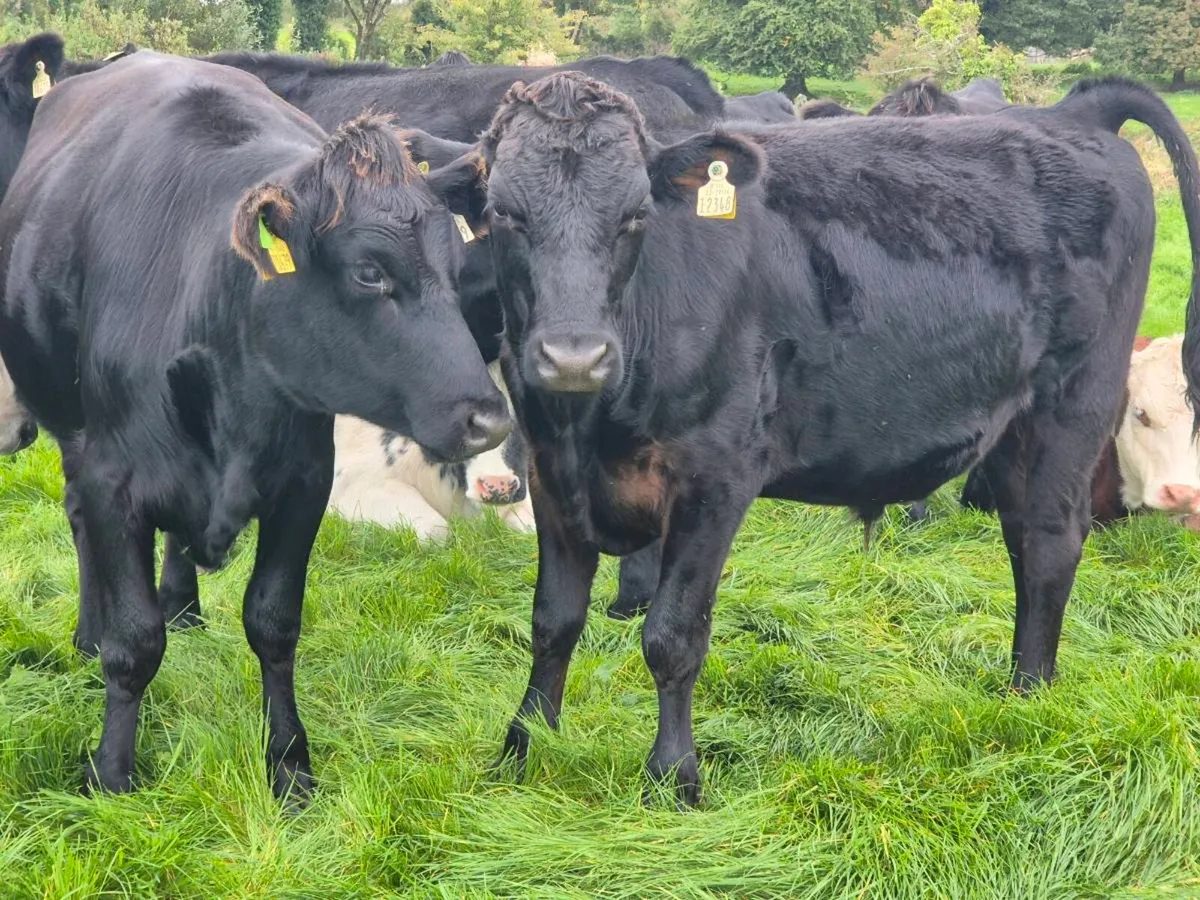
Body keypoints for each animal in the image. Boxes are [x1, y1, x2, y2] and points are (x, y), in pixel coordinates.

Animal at [0, 52, 510, 802]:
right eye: (369, 272)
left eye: (455, 269)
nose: (489, 417)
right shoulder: (113, 481)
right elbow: (134, 639)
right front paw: (112, 771)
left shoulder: (304, 484)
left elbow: (273, 622)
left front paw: (291, 765)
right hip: (71, 433)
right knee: (80, 525)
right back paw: (89, 632)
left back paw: (184, 607)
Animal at [446, 71, 1200, 806]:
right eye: (504, 214)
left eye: (635, 215)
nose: (574, 357)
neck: (592, 422)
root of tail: (1075, 113)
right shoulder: (553, 473)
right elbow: (553, 620)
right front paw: (523, 746)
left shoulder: (715, 477)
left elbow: (672, 636)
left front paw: (674, 779)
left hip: (1075, 401)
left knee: (1047, 542)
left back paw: (1029, 693)